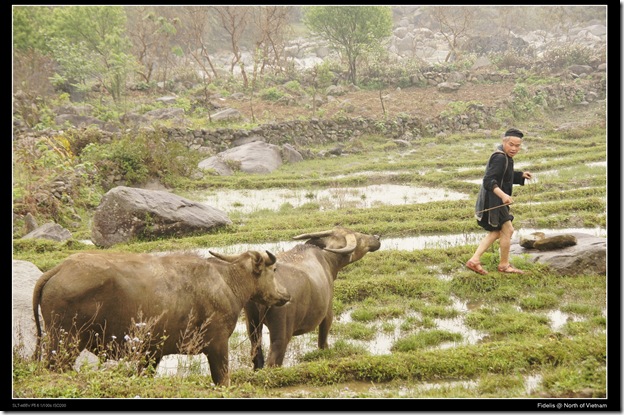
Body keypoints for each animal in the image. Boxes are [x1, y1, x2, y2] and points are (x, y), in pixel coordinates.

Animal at [31, 247, 290, 386]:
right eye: (274, 270)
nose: (285, 294)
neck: (226, 282)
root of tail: (59, 269)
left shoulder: (152, 353)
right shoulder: (217, 345)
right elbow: (222, 379)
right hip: (66, 343)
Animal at [243, 228, 380, 370]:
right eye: (359, 237)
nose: (377, 237)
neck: (327, 259)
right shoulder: (328, 313)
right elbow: (322, 342)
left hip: (252, 327)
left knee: (257, 355)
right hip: (280, 336)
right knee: (273, 361)